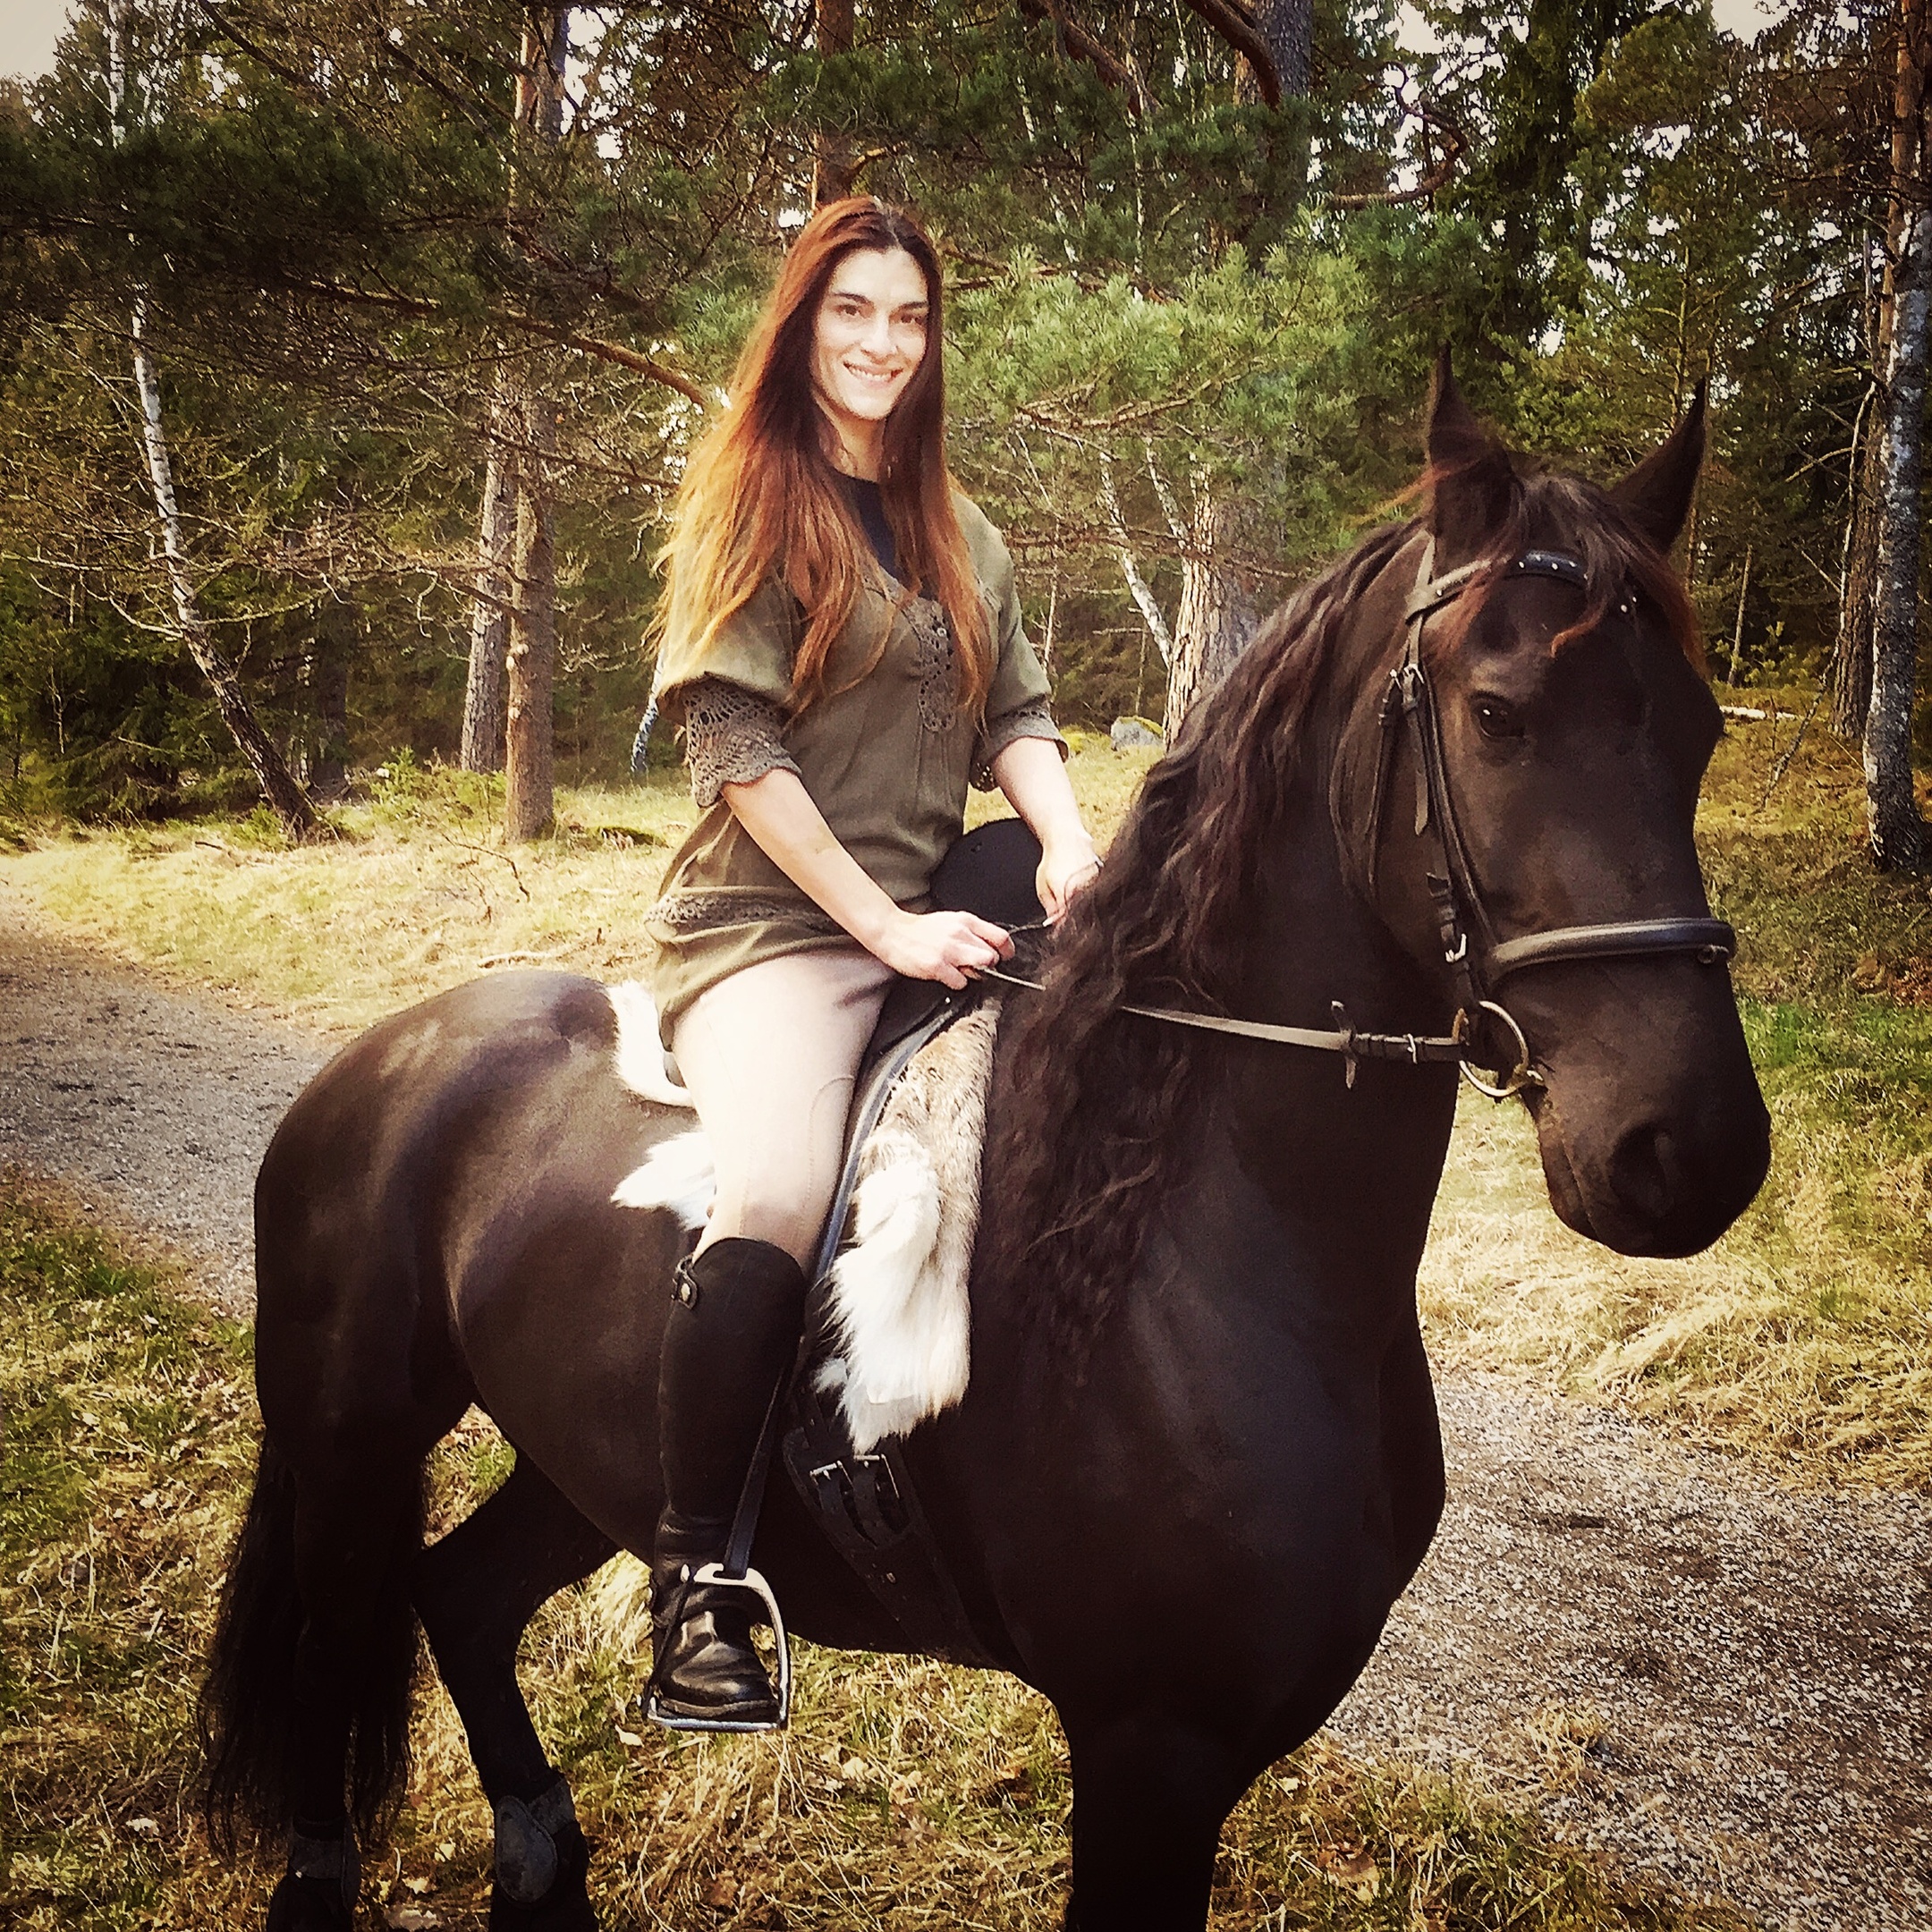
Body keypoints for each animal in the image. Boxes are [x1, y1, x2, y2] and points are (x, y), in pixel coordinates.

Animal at [198, 361, 1769, 1931]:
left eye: (1701, 728)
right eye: (1498, 713)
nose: (1689, 1153)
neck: (1181, 1254)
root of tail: (392, 1051)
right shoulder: (1152, 1750)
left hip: (585, 1458)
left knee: (462, 1600)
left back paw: (541, 1853)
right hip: (349, 1443)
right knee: (339, 1649)